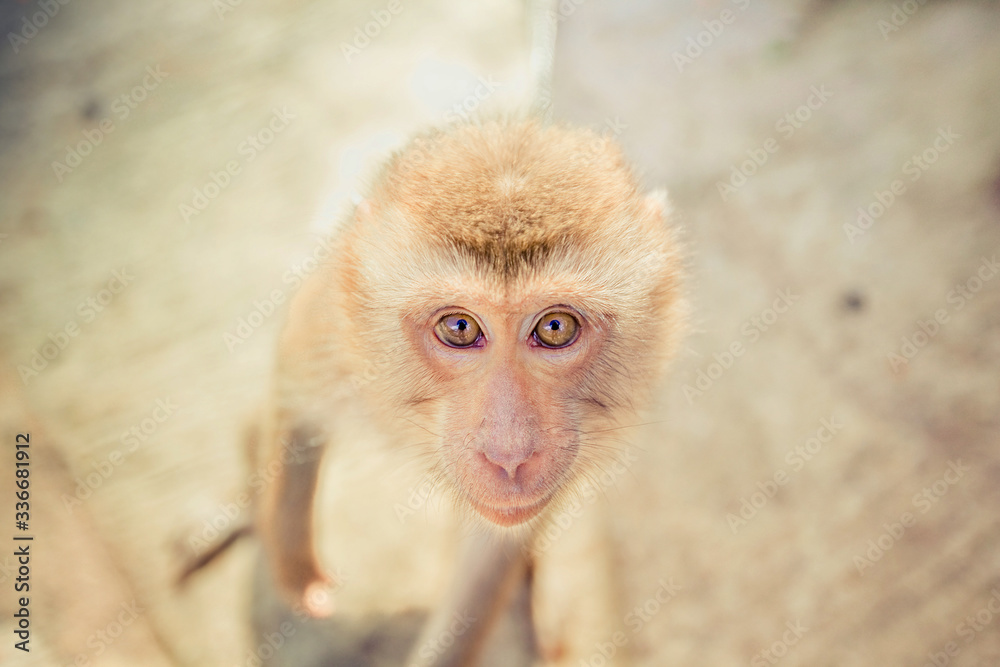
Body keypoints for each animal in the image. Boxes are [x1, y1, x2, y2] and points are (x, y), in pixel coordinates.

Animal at [253, 117, 685, 666]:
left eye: (555, 327)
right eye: (458, 327)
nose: (510, 454)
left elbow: (490, 555)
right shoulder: (337, 327)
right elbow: (295, 380)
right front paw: (292, 564)